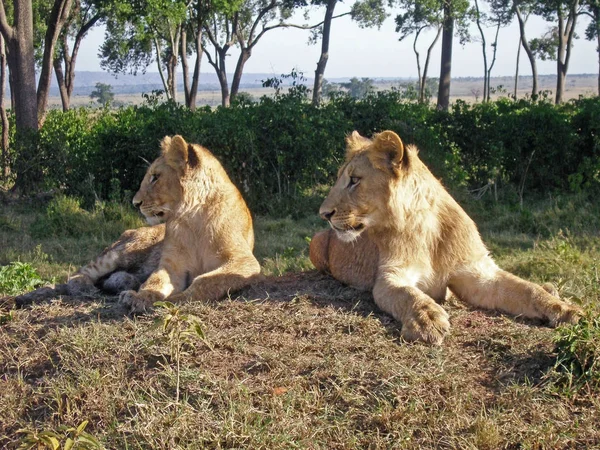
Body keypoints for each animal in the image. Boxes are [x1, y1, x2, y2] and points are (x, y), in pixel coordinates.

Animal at [312, 130, 584, 344]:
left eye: (354, 180)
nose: (323, 213)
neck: (426, 227)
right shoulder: (390, 275)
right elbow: (408, 294)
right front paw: (427, 319)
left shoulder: (478, 273)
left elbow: (527, 289)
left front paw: (565, 309)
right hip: (316, 242)